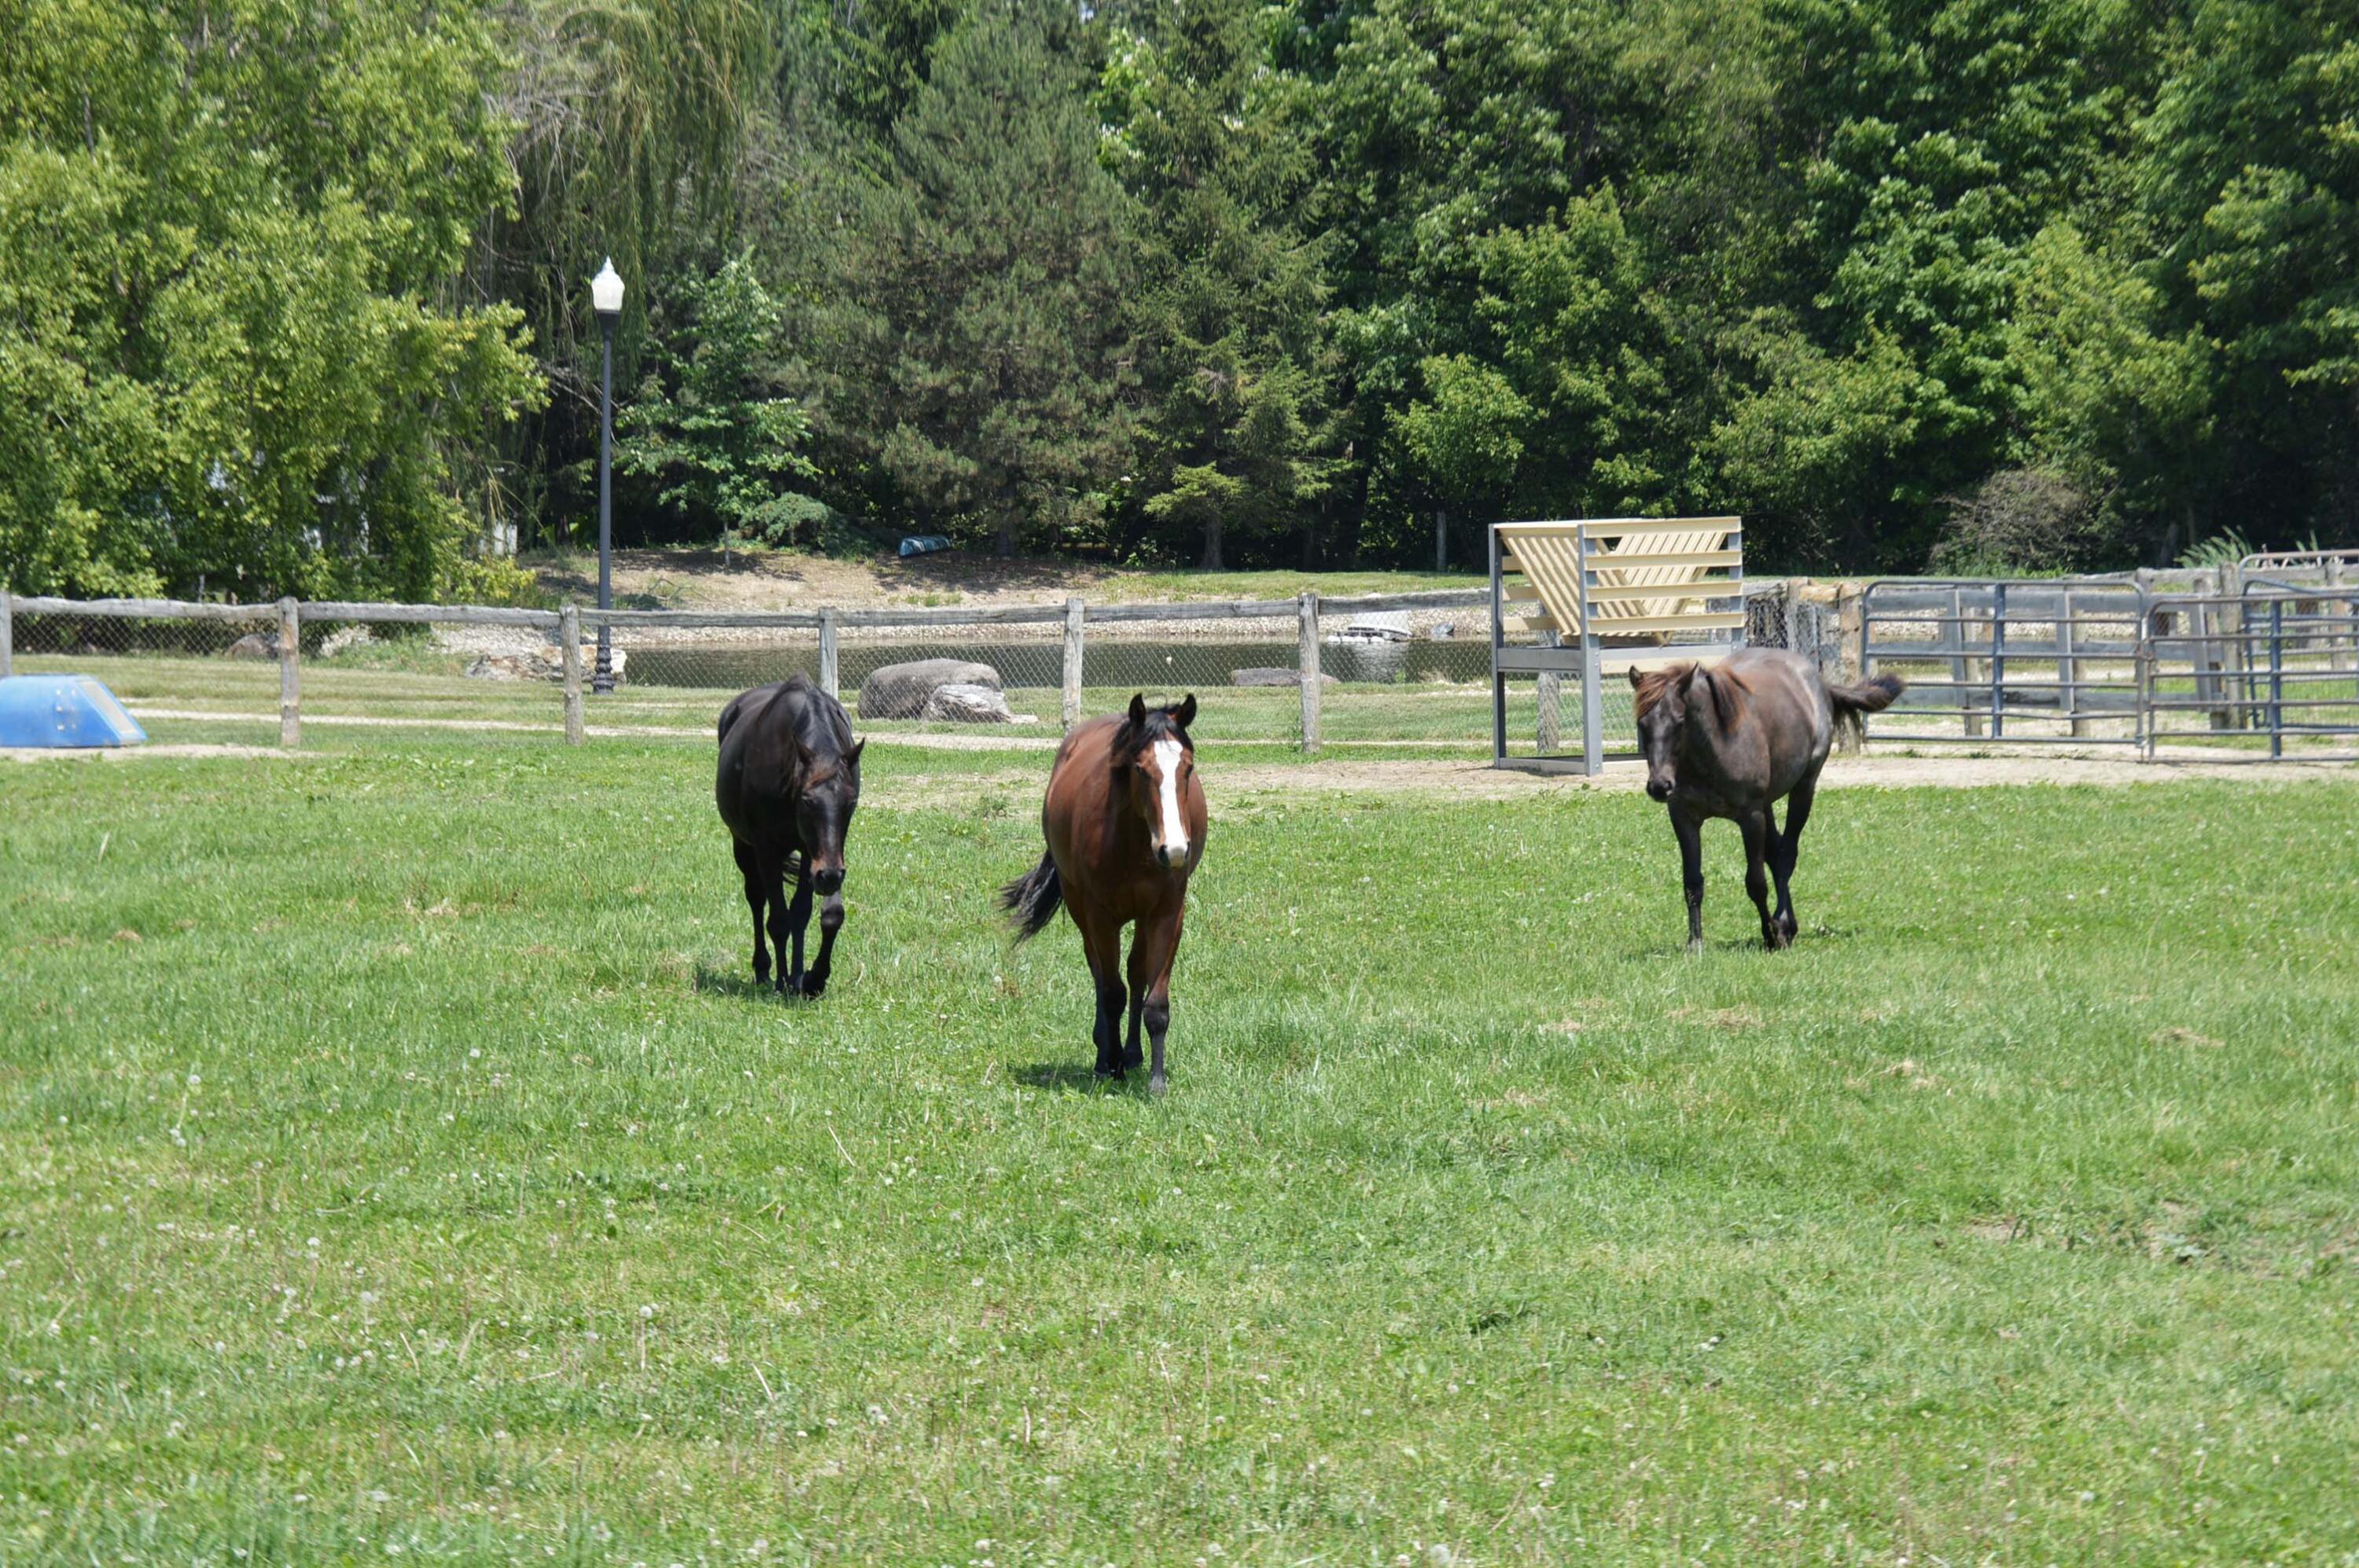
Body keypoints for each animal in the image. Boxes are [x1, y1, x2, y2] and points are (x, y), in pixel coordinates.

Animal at [715, 673, 865, 997]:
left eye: (850, 802)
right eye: (807, 801)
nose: (829, 877)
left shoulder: (818, 853)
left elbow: (816, 914)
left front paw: (809, 979)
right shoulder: (766, 849)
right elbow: (779, 920)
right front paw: (784, 980)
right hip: (742, 845)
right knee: (756, 899)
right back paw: (763, 970)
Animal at [998, 694, 1206, 1094]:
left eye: (1187, 768)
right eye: (1140, 769)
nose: (1174, 850)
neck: (1133, 844)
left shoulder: (1168, 913)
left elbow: (1156, 1002)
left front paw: (1156, 1082)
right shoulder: (1100, 917)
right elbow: (1112, 993)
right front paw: (1112, 1067)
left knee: (1136, 972)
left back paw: (1133, 1054)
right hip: (1080, 906)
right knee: (1099, 972)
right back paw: (1105, 1054)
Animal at [1628, 649, 1902, 953]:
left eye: (1679, 721)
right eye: (1642, 724)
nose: (1659, 786)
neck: (1716, 744)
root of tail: (1818, 682)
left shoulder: (1751, 817)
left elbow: (1756, 882)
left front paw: (1772, 934)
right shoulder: (1684, 818)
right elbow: (1692, 883)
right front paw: (1695, 943)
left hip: (1803, 789)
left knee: (1786, 854)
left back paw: (1783, 925)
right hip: (1768, 805)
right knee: (1775, 851)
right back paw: (1789, 925)